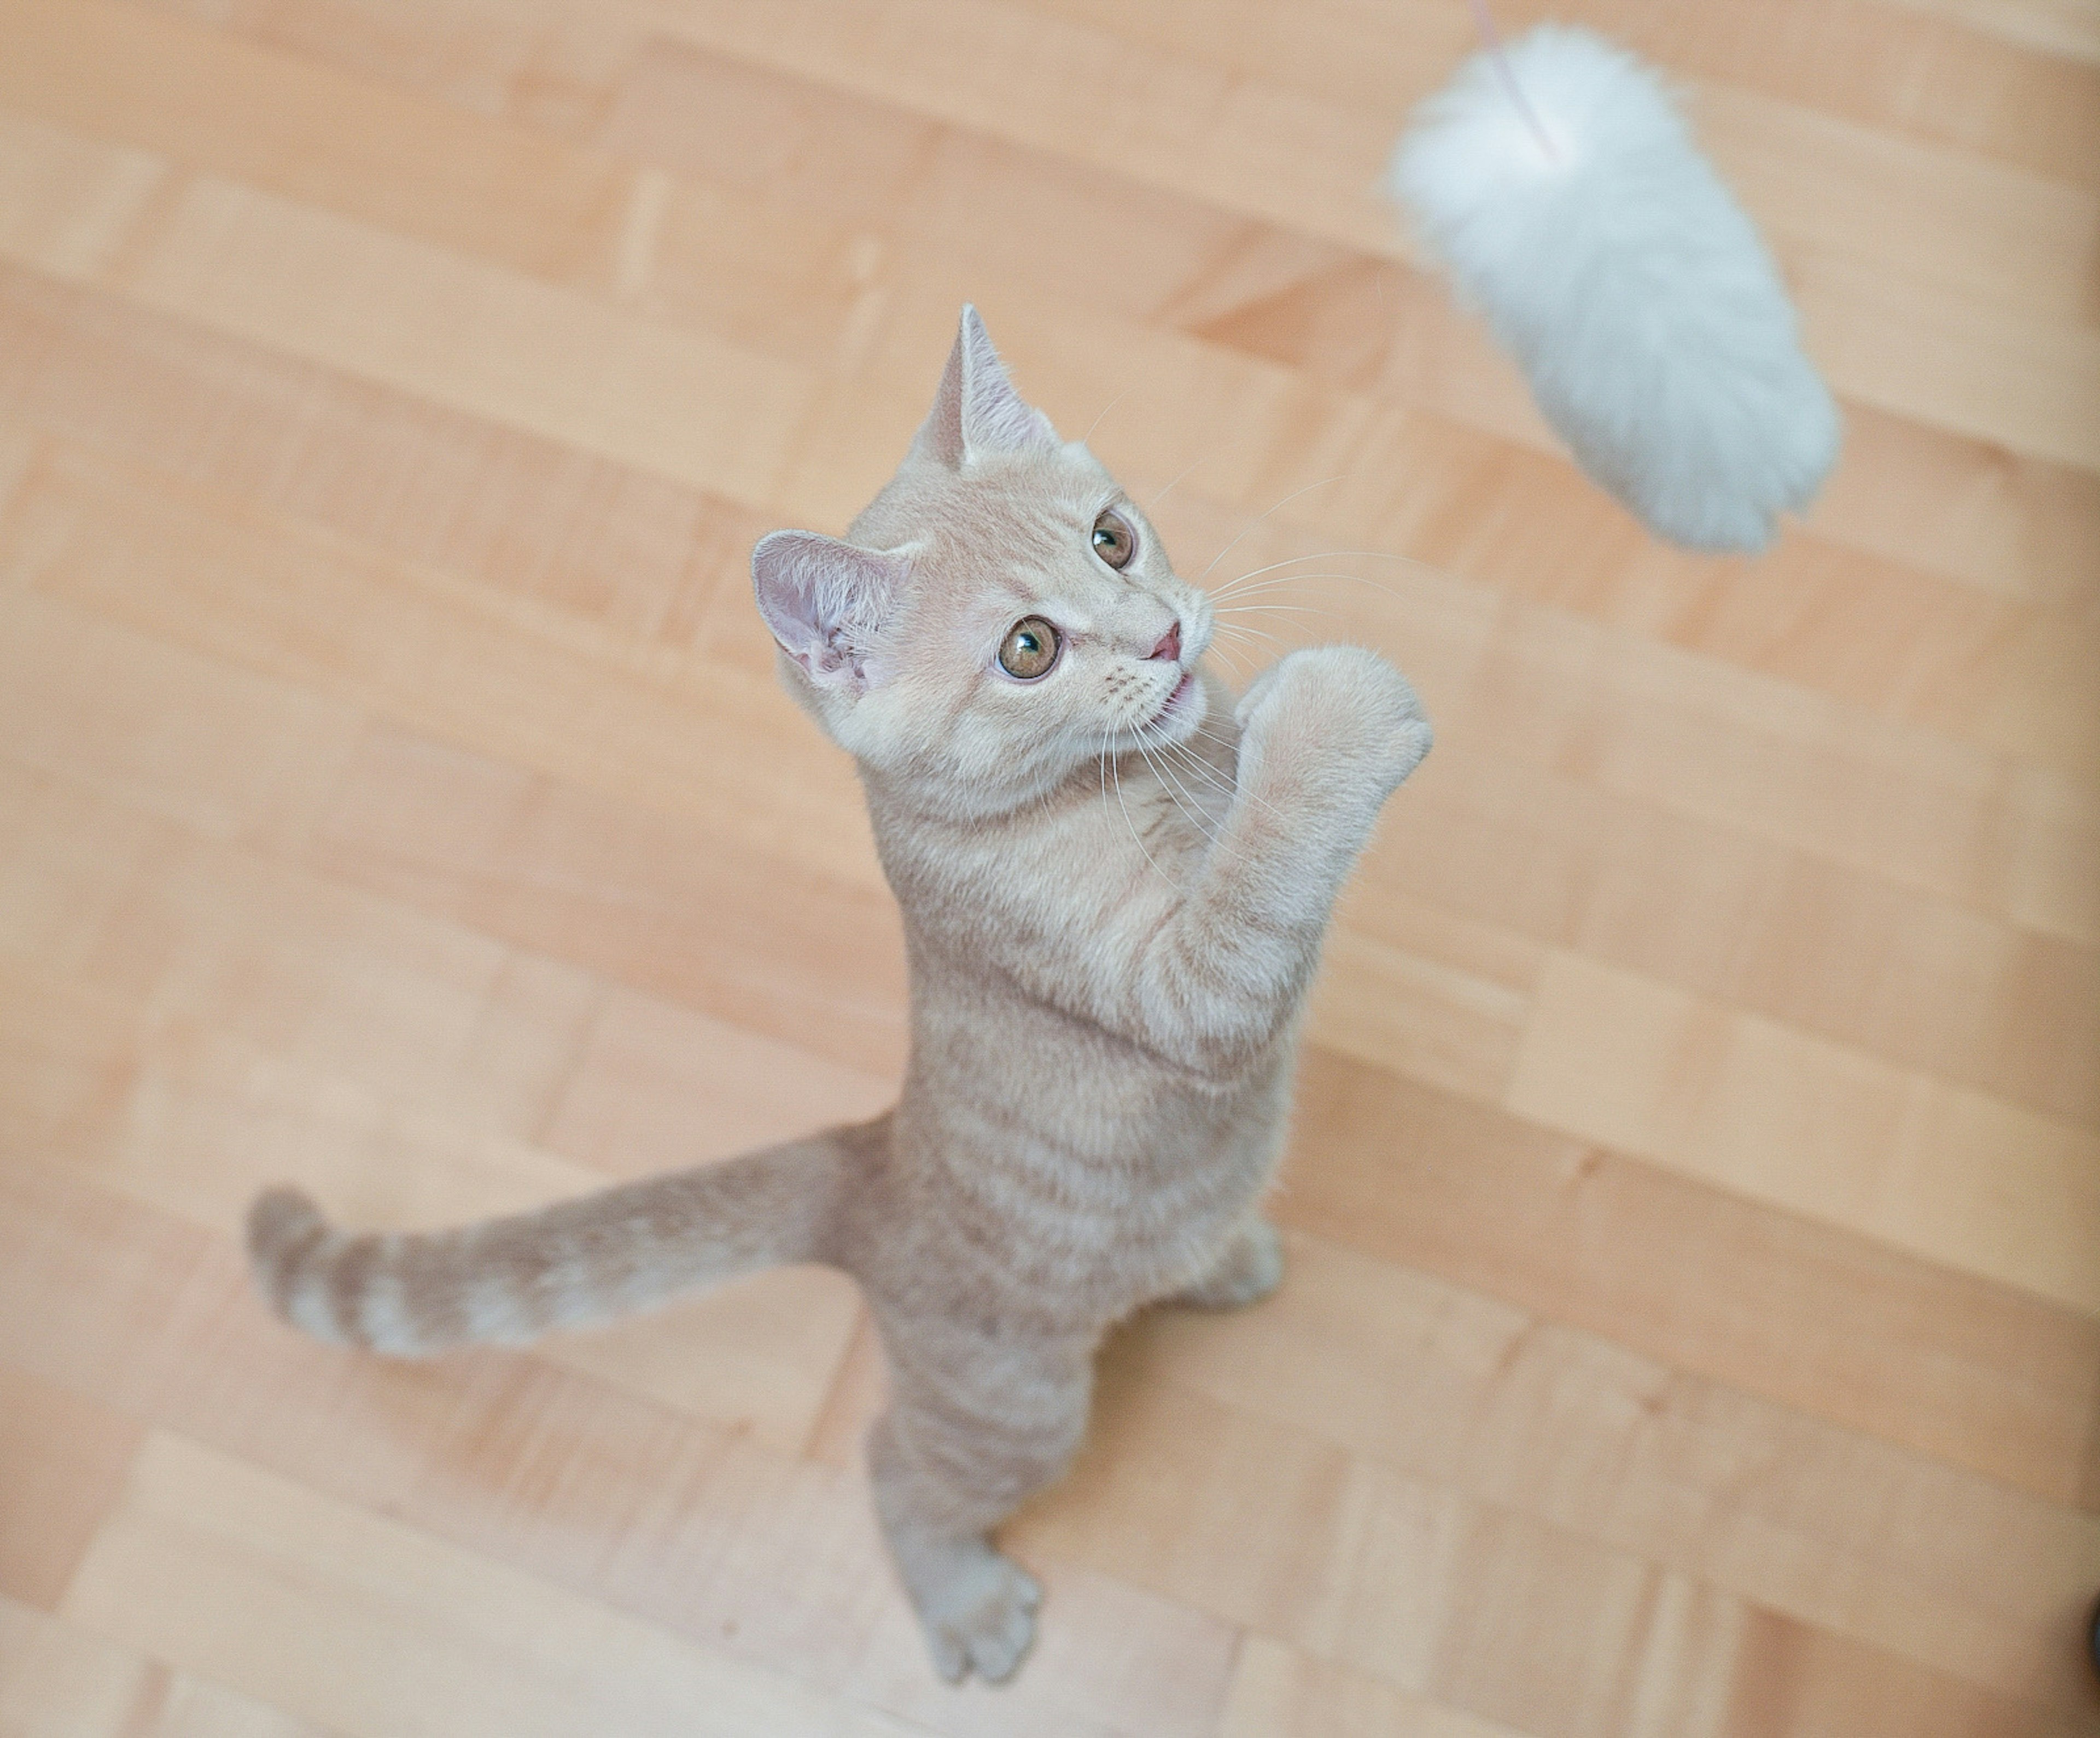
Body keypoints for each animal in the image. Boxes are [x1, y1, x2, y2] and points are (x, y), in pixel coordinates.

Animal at [241, 306, 1428, 1679]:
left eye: (1112, 538)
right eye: (1029, 650)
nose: (1166, 638)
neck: (1131, 783)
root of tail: (870, 1165)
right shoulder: (1183, 990)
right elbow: (1257, 875)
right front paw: (1338, 713)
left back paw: (1219, 1257)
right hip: (1014, 1407)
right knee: (896, 1469)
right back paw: (964, 1601)